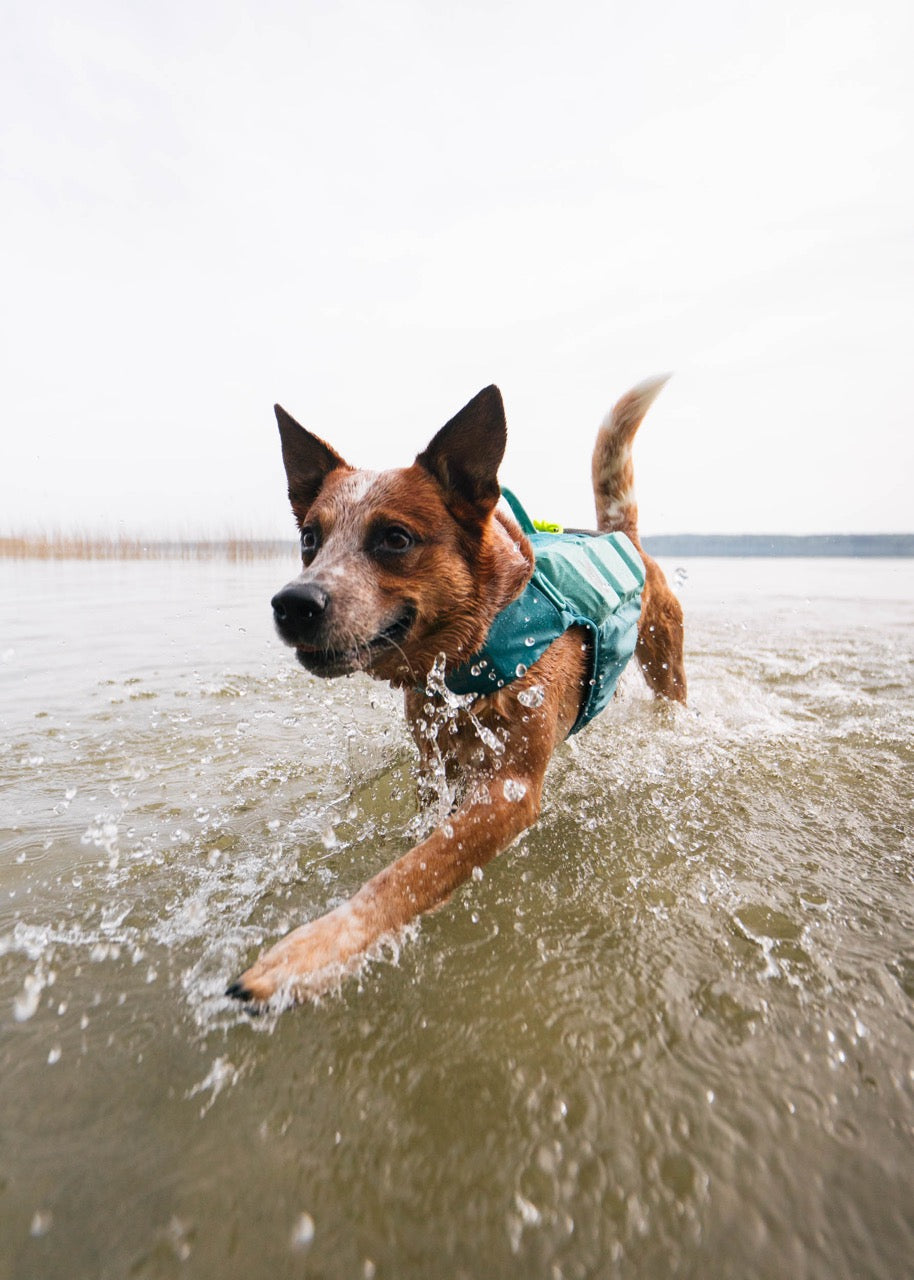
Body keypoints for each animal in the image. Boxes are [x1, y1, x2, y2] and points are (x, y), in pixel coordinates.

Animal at [227, 373, 686, 1003]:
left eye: (395, 539)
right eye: (309, 539)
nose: (294, 603)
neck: (471, 653)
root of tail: (620, 533)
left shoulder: (508, 791)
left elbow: (409, 874)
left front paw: (308, 954)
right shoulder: (432, 759)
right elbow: (424, 830)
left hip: (667, 661)